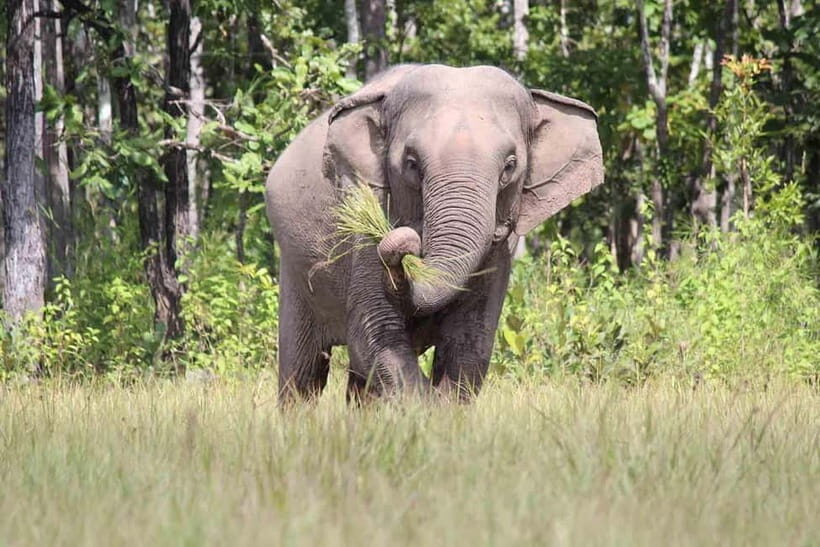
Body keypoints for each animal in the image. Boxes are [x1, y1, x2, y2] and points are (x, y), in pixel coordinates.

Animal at [265, 64, 603, 403]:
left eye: (510, 165)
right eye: (411, 164)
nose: (405, 247)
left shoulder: (500, 255)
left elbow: (470, 342)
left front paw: (441, 403)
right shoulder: (365, 226)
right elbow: (375, 332)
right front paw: (424, 401)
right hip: (295, 274)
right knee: (303, 373)